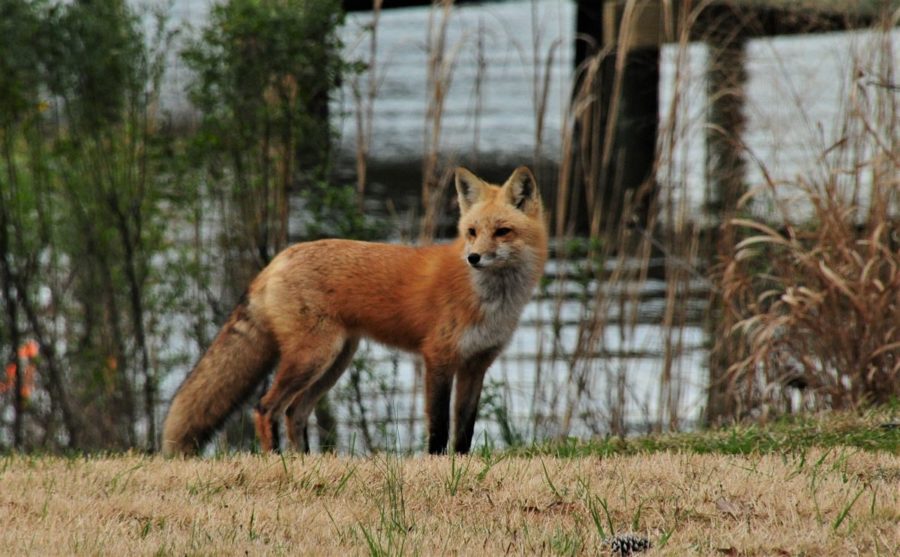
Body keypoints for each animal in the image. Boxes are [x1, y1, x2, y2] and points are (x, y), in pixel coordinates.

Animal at [163, 166, 548, 456]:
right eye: (471, 231)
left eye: (502, 231)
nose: (473, 257)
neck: (490, 299)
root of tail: (277, 259)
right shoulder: (438, 358)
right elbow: (439, 428)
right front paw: (438, 465)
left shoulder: (476, 364)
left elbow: (464, 431)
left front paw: (460, 464)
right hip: (314, 357)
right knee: (266, 407)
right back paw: (275, 461)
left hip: (335, 362)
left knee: (294, 412)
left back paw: (304, 462)